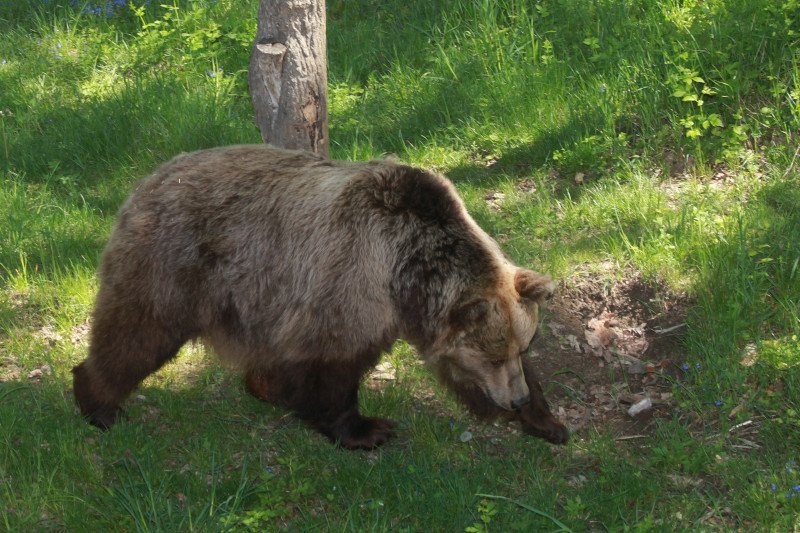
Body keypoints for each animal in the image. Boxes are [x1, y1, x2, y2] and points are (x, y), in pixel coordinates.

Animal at [72, 143, 564, 446]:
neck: (405, 268)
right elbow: (332, 362)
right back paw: (99, 403)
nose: (516, 399)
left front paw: (547, 421)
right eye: (492, 356)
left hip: (254, 287)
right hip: (176, 263)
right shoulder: (350, 276)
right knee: (136, 333)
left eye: (520, 347)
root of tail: (147, 179)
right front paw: (366, 429)